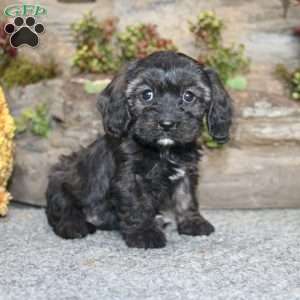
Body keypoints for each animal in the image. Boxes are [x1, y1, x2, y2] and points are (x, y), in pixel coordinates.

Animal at [46, 51, 232, 248]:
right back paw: (73, 225)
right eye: (147, 95)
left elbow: (186, 197)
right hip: (61, 179)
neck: (162, 150)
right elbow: (137, 205)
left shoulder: (186, 171)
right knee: (61, 209)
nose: (167, 124)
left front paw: (193, 222)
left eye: (188, 96)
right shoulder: (129, 177)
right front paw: (144, 233)